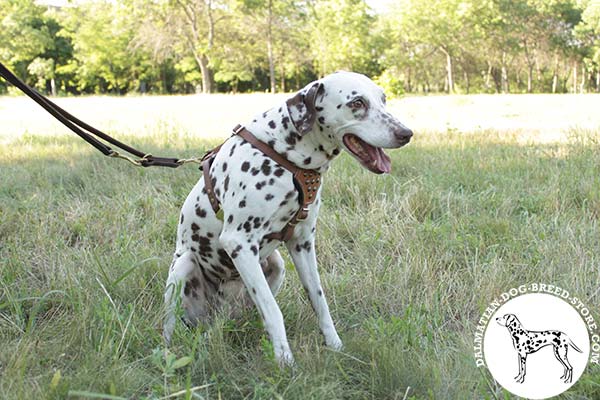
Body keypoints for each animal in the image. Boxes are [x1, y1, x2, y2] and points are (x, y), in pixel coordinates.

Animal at [163, 70, 412, 364]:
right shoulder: (239, 243)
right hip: (184, 266)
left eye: (383, 99)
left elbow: (319, 300)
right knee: (169, 325)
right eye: (357, 103)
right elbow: (273, 311)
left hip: (276, 264)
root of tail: (219, 312)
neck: (285, 155)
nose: (406, 133)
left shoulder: (302, 243)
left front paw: (335, 345)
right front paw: (284, 361)